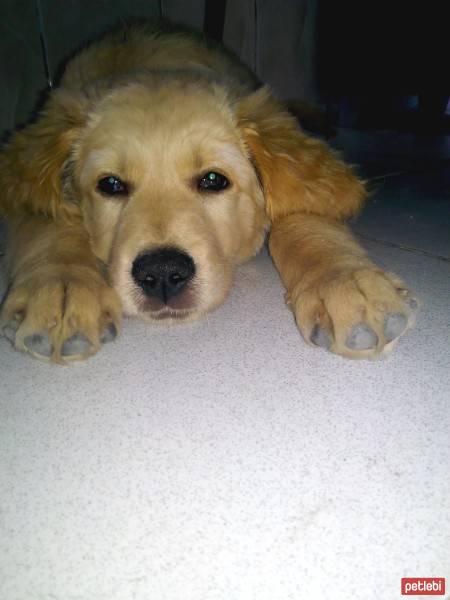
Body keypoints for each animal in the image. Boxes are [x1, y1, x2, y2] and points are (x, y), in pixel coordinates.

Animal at [0, 18, 416, 364]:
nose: (162, 274)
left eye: (214, 180)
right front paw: (61, 289)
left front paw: (346, 282)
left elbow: (301, 206)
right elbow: (46, 219)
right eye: (111, 185)